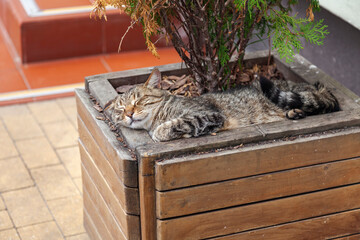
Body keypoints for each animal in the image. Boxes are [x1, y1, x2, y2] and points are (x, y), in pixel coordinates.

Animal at [105, 68, 338, 142]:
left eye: (139, 101)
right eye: (120, 110)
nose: (129, 114)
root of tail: (317, 87)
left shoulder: (209, 115)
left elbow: (175, 124)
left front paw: (161, 132)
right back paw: (294, 113)